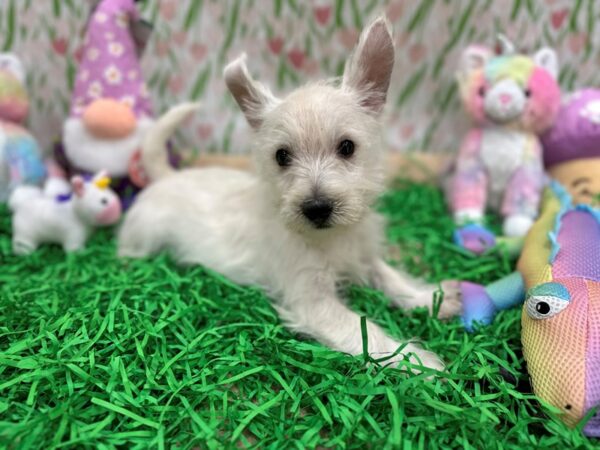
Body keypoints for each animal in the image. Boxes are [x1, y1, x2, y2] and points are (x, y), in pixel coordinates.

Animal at [119, 16, 462, 370]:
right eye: (281, 156)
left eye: (347, 147)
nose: (317, 207)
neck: (330, 238)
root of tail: (165, 176)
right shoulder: (313, 301)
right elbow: (367, 332)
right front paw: (418, 363)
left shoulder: (363, 254)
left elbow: (389, 276)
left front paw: (429, 298)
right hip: (144, 235)